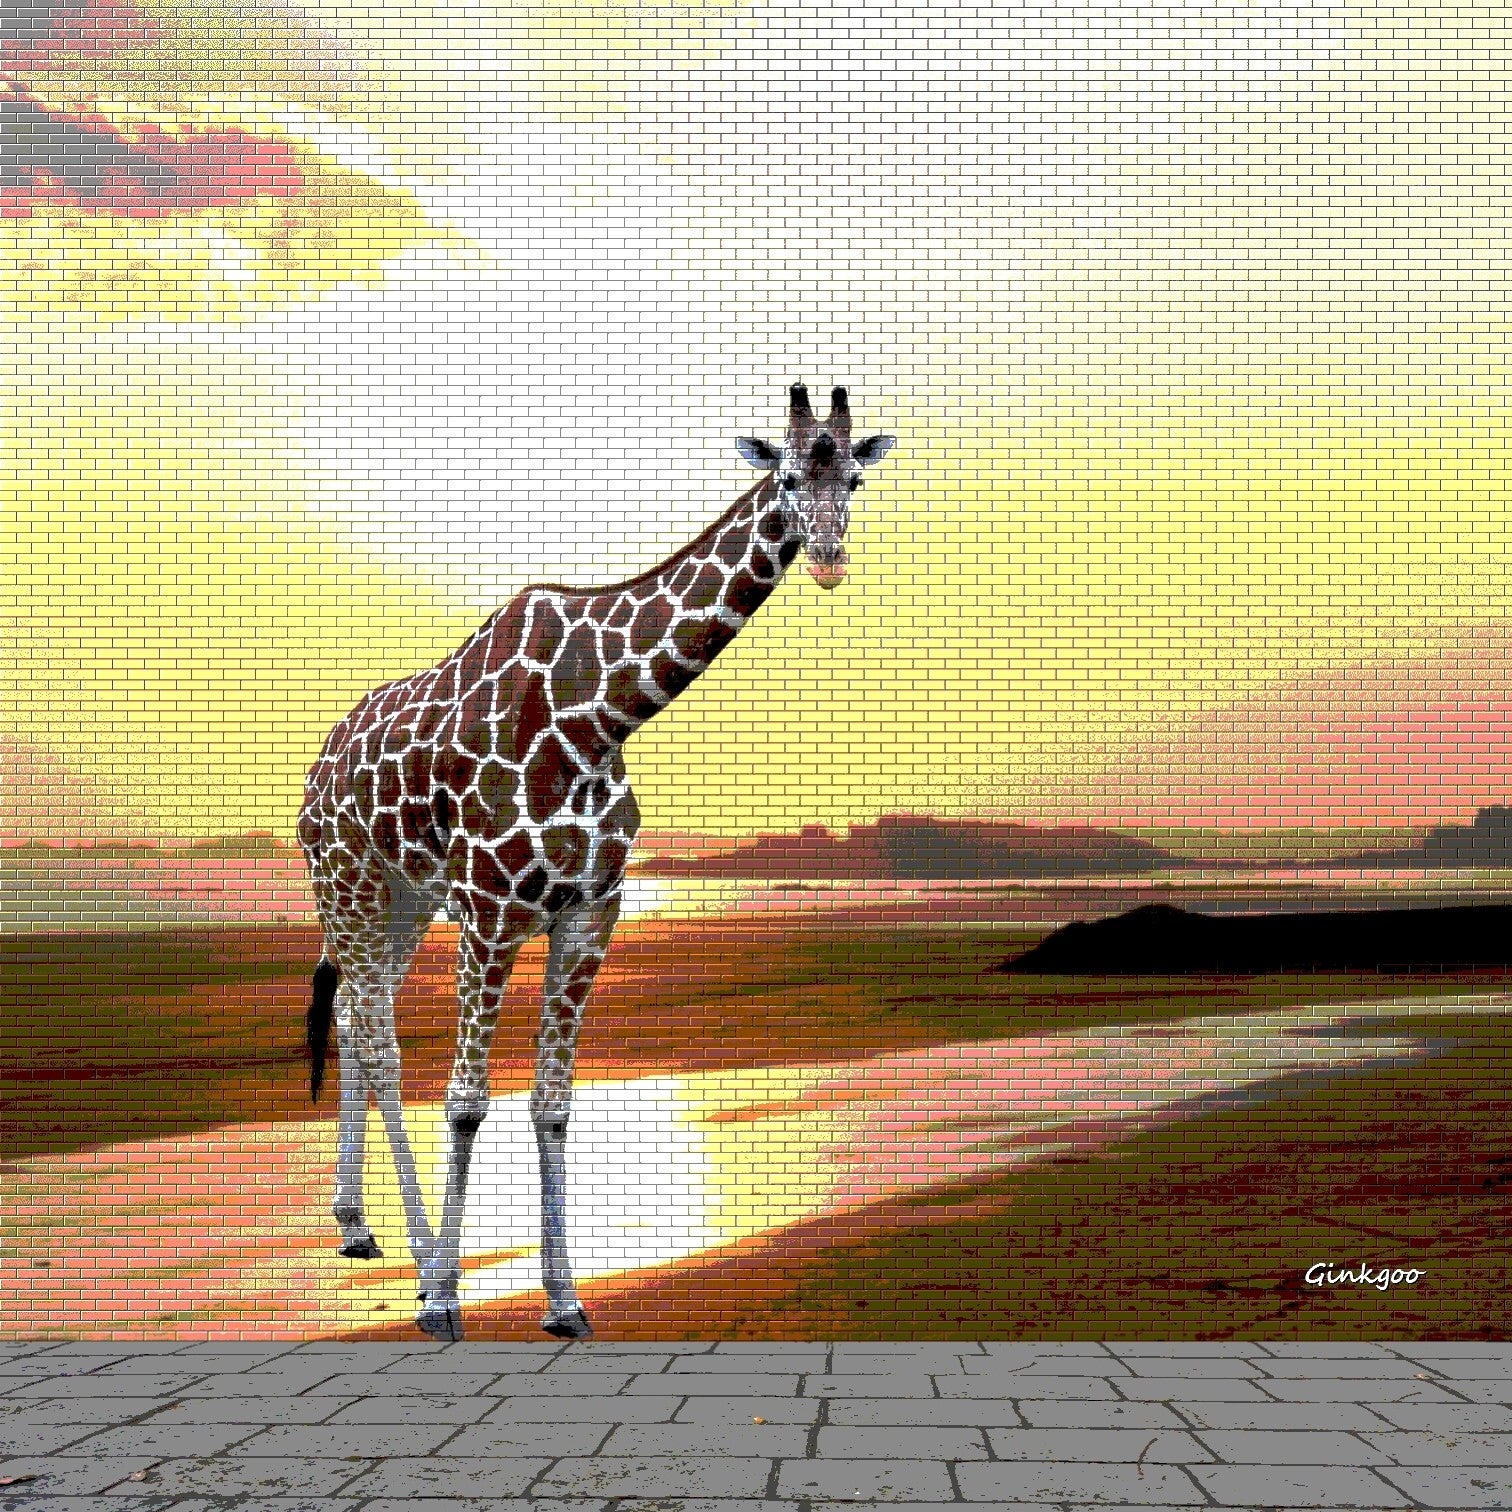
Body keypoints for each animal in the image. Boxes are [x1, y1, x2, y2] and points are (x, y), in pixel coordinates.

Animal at [298, 384, 895, 1341]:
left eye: (856, 481)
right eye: (788, 477)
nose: (832, 561)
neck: (596, 716)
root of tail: (316, 770)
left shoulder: (590, 909)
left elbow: (553, 1104)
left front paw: (566, 1300)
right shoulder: (491, 909)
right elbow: (466, 1099)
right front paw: (446, 1298)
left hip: (403, 900)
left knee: (358, 1017)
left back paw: (356, 1226)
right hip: (347, 880)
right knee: (380, 1041)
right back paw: (422, 1260)